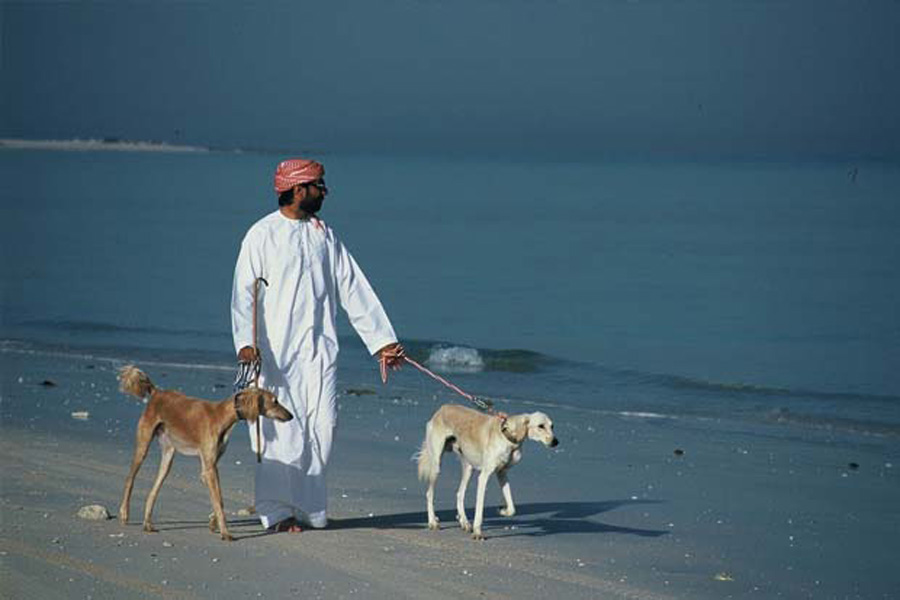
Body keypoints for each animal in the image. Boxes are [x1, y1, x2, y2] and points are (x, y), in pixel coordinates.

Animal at [117, 364, 292, 540]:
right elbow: (219, 501)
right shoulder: (210, 468)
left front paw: (214, 523)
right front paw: (225, 532)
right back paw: (124, 513)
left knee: (153, 491)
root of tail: (156, 392)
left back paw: (147, 523)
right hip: (143, 447)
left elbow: (218, 500)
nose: (290, 416)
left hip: (168, 456)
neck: (222, 416)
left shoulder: (208, 468)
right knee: (129, 479)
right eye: (275, 401)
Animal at [418, 404, 560, 540]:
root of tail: (442, 408)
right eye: (541, 426)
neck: (507, 436)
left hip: (468, 467)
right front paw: (477, 533)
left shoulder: (502, 473)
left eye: (552, 426)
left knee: (459, 494)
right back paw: (433, 522)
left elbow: (512, 508)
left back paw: (464, 522)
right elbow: (480, 509)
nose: (555, 442)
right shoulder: (484, 476)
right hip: (436, 465)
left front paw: (502, 511)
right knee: (429, 494)